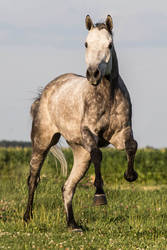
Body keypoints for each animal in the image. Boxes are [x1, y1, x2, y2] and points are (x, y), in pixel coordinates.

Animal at [23, 14, 138, 231]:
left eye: (109, 44)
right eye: (86, 43)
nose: (93, 74)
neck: (107, 97)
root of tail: (46, 92)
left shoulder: (121, 133)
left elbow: (131, 146)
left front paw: (130, 175)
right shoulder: (88, 133)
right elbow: (98, 154)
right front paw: (99, 196)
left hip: (80, 153)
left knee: (68, 187)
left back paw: (73, 224)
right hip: (42, 142)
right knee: (33, 179)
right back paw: (27, 217)